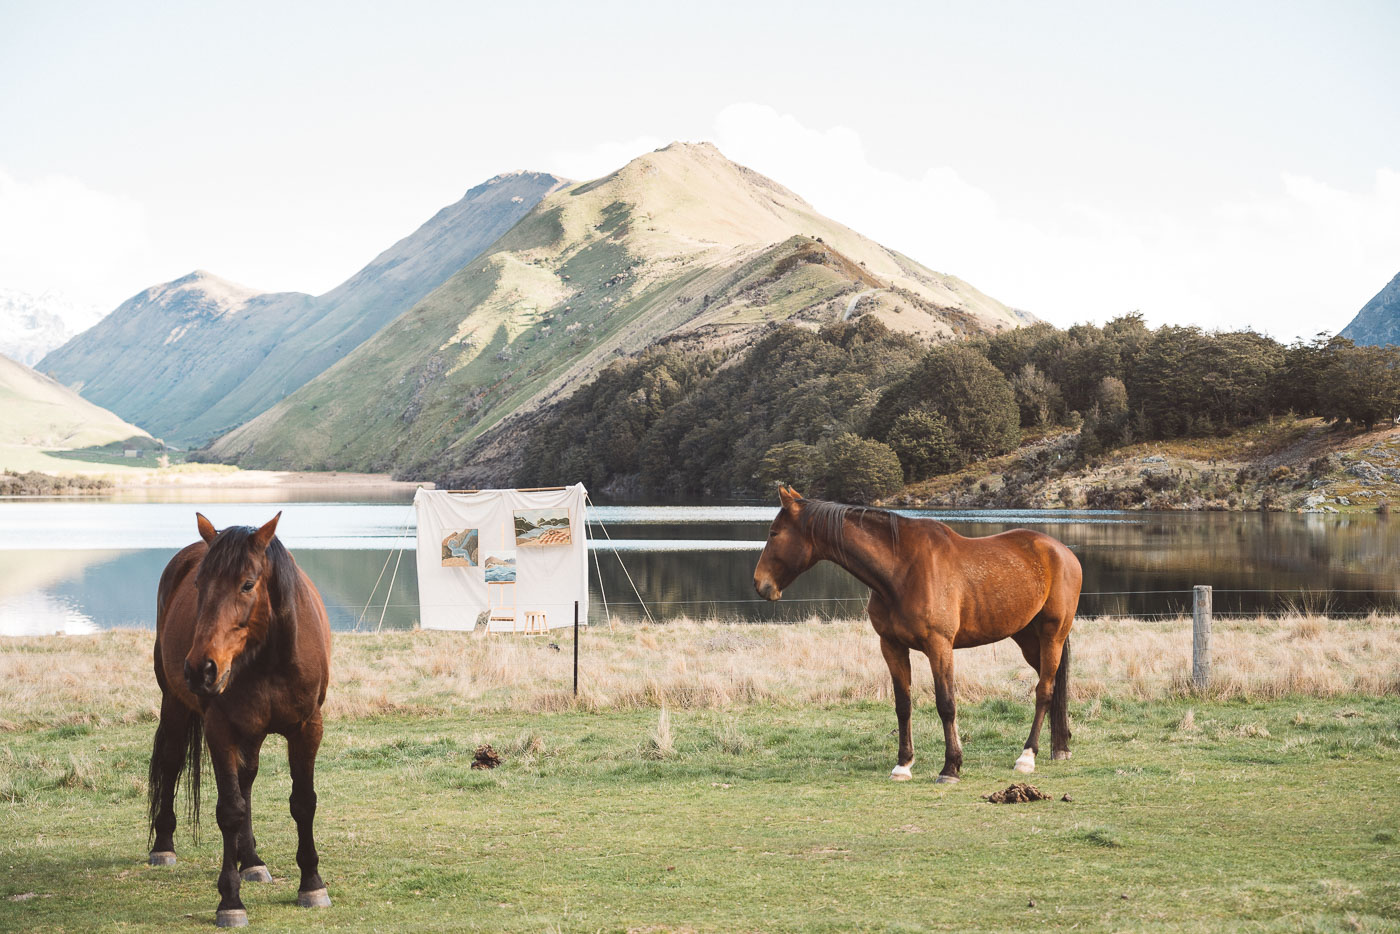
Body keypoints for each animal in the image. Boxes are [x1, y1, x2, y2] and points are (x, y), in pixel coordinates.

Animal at [147, 515, 333, 929]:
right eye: (199, 584)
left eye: (248, 584)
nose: (201, 669)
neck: (269, 659)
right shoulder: (220, 731)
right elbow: (229, 811)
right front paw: (230, 901)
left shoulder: (307, 728)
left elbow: (303, 802)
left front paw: (312, 884)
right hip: (176, 704)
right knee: (171, 763)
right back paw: (163, 846)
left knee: (246, 783)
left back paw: (250, 861)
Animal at [756, 487, 1080, 784]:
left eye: (774, 533)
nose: (761, 584)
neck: (901, 570)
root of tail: (1063, 552)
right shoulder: (892, 646)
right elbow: (903, 705)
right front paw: (903, 764)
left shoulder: (939, 646)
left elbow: (946, 704)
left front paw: (951, 767)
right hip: (1027, 639)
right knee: (1053, 686)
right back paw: (1060, 746)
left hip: (1052, 634)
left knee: (1044, 690)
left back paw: (1027, 756)